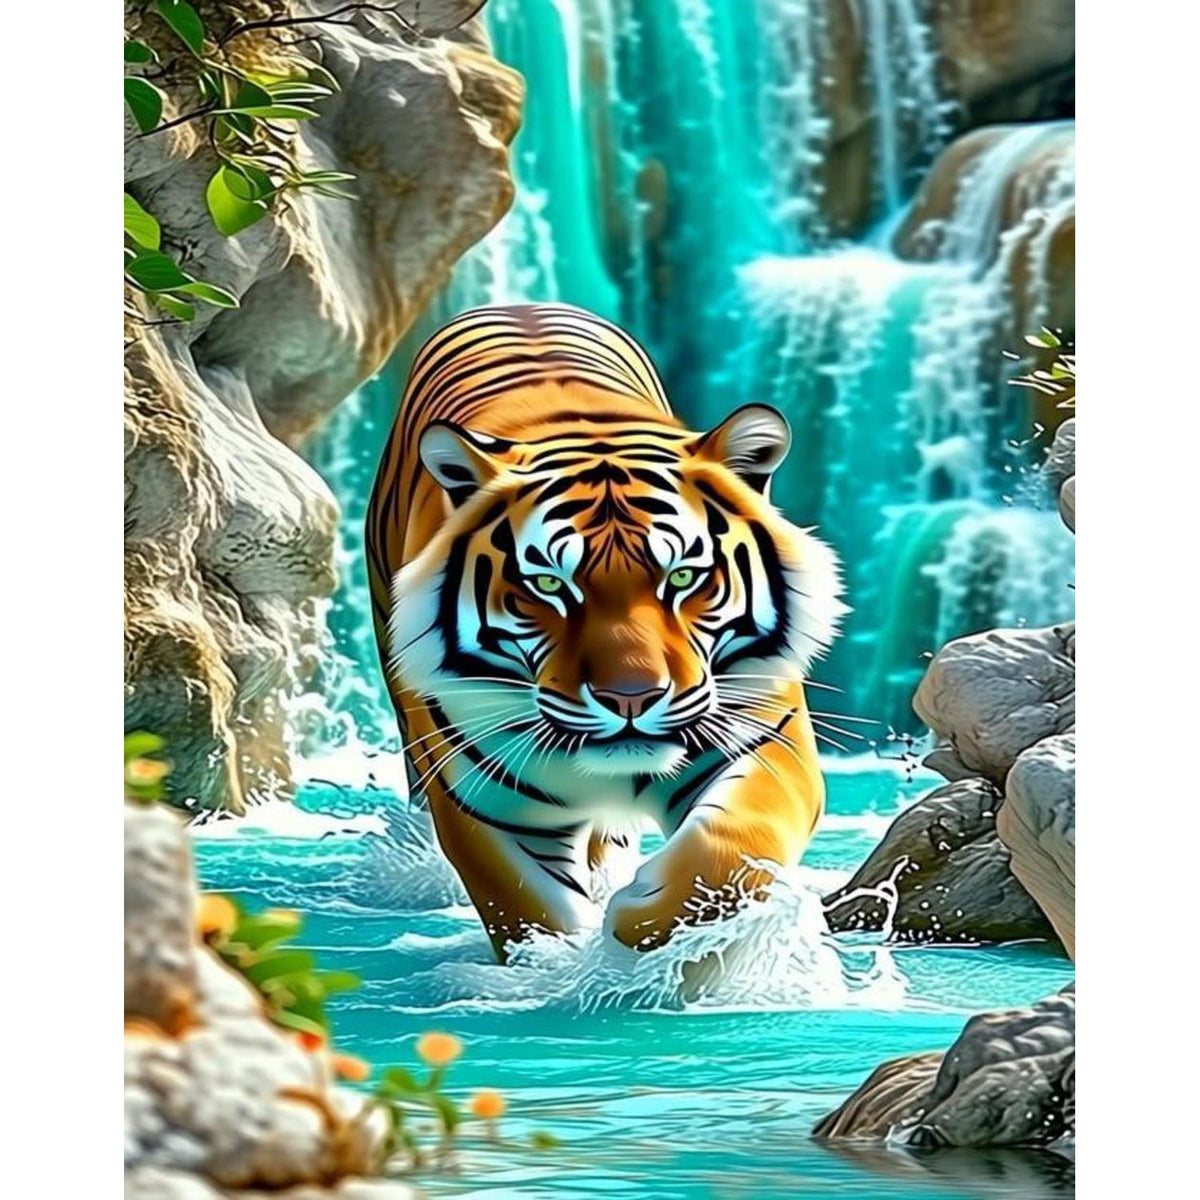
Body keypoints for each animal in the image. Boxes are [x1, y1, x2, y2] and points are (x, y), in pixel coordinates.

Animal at [365, 302, 845, 960]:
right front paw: (560, 965)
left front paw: (643, 918)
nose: (630, 699)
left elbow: (727, 844)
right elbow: (527, 908)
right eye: (548, 584)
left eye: (683, 576)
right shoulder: (476, 797)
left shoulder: (766, 738)